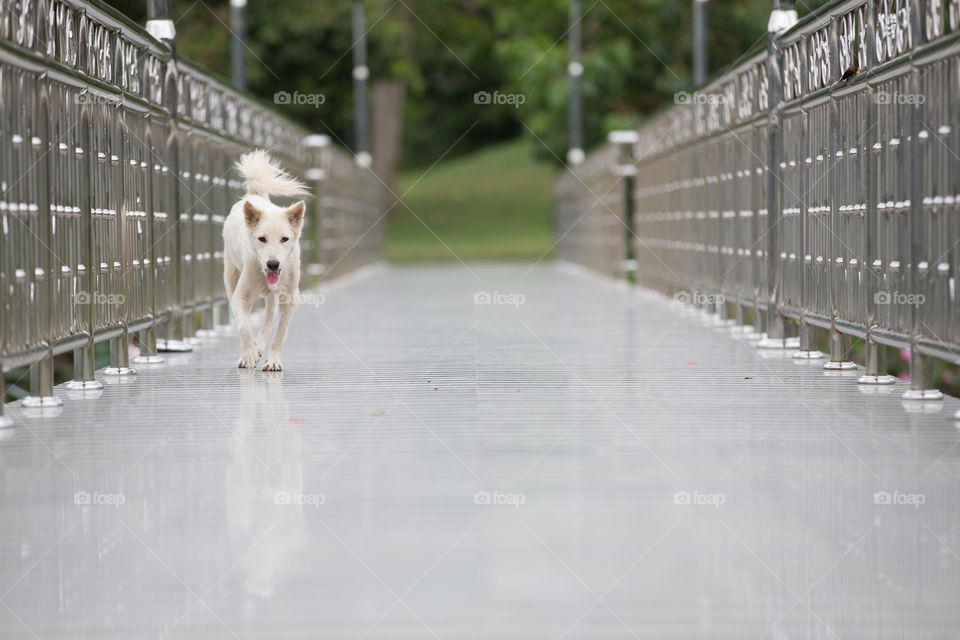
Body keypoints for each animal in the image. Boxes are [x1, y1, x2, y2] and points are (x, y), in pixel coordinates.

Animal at [221, 149, 308, 370]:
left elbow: (280, 333)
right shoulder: (240, 296)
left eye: (284, 239)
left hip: (272, 296)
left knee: (268, 320)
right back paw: (254, 348)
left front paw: (273, 360)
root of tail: (254, 195)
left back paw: (259, 346)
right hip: (231, 277)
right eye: (262, 239)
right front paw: (248, 356)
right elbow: (244, 326)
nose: (273, 264)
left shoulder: (289, 297)